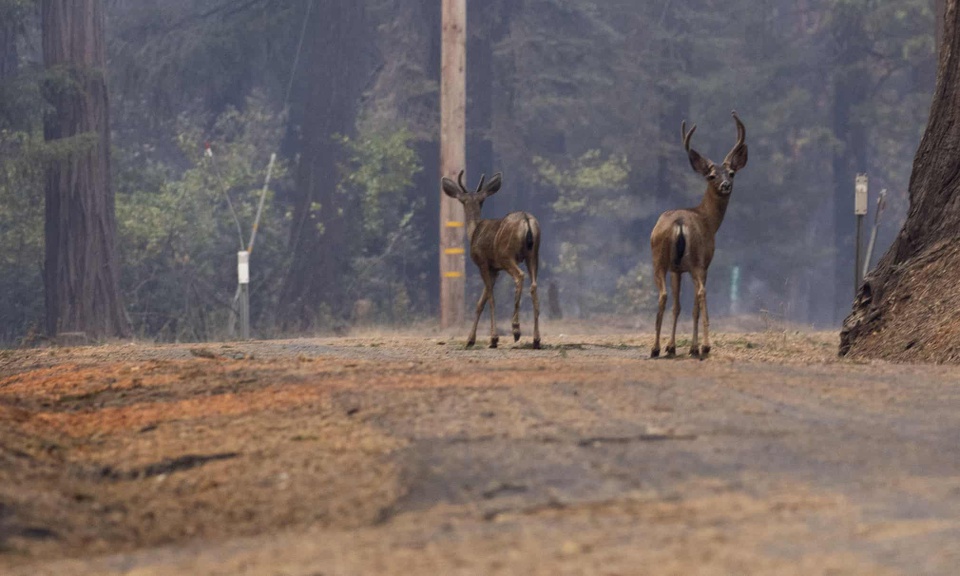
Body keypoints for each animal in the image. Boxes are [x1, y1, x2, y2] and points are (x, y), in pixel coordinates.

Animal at [440, 171, 540, 348]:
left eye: (461, 200)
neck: (473, 232)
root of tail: (527, 221)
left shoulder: (483, 263)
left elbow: (490, 298)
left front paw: (493, 338)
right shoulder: (495, 270)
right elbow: (481, 302)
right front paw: (470, 339)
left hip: (507, 255)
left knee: (520, 276)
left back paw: (516, 329)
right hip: (533, 254)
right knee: (534, 285)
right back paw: (536, 339)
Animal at [648, 109, 748, 358]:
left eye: (731, 172)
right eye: (711, 176)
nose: (725, 185)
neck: (708, 220)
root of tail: (679, 223)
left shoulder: (677, 269)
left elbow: (677, 306)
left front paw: (671, 346)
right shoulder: (704, 263)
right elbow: (692, 305)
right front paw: (692, 346)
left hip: (660, 259)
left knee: (664, 296)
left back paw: (655, 347)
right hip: (696, 262)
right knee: (701, 294)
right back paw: (704, 346)